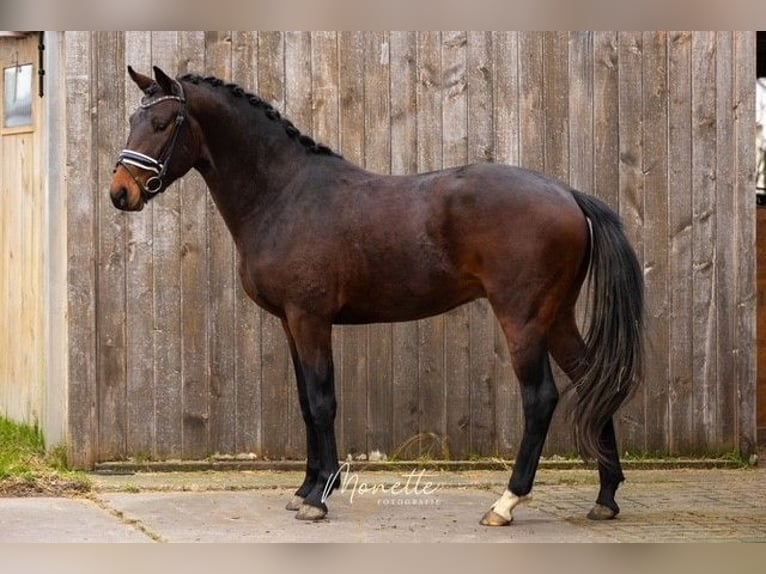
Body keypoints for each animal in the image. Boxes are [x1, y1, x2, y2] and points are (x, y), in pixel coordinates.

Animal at [111, 66, 644, 528]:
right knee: (593, 381)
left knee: (540, 398)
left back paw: (506, 503)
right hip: (557, 318)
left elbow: (322, 402)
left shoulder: (310, 318)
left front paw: (320, 496)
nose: (120, 192)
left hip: (523, 319)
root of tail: (569, 194)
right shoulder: (289, 322)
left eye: (162, 123)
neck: (285, 194)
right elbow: (305, 402)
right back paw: (605, 497)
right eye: (133, 120)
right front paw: (305, 490)